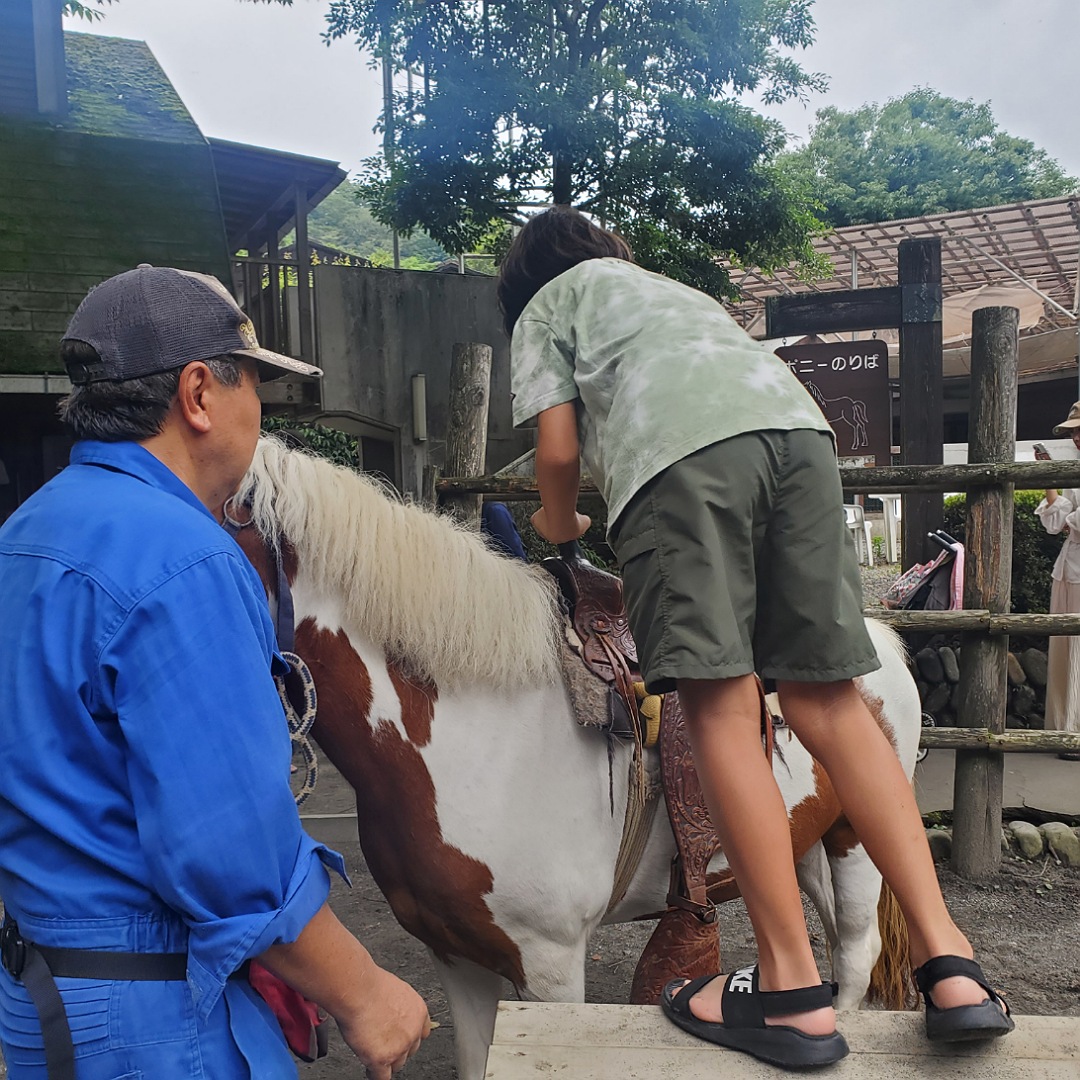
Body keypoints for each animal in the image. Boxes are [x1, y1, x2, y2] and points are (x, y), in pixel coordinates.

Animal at [227, 438, 920, 1080]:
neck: (471, 738)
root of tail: (881, 640)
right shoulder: (456, 958)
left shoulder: (550, 966)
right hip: (805, 842)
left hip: (855, 840)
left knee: (855, 956)